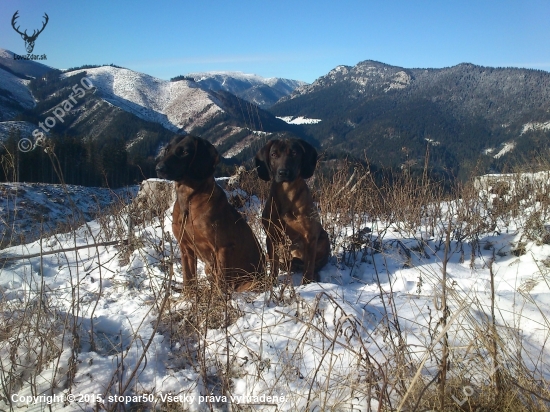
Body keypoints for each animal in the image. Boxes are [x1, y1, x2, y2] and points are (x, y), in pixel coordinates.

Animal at [156, 137, 266, 292]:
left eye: (184, 152)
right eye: (167, 149)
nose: (158, 168)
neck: (188, 201)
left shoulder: (222, 248)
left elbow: (221, 285)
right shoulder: (185, 248)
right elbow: (188, 279)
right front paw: (188, 297)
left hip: (250, 283)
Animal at [256, 138, 330, 284]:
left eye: (294, 153)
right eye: (273, 154)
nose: (283, 172)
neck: (287, 194)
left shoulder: (310, 236)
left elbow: (309, 266)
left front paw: (307, 284)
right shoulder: (271, 237)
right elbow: (274, 264)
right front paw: (271, 283)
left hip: (324, 238)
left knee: (316, 264)